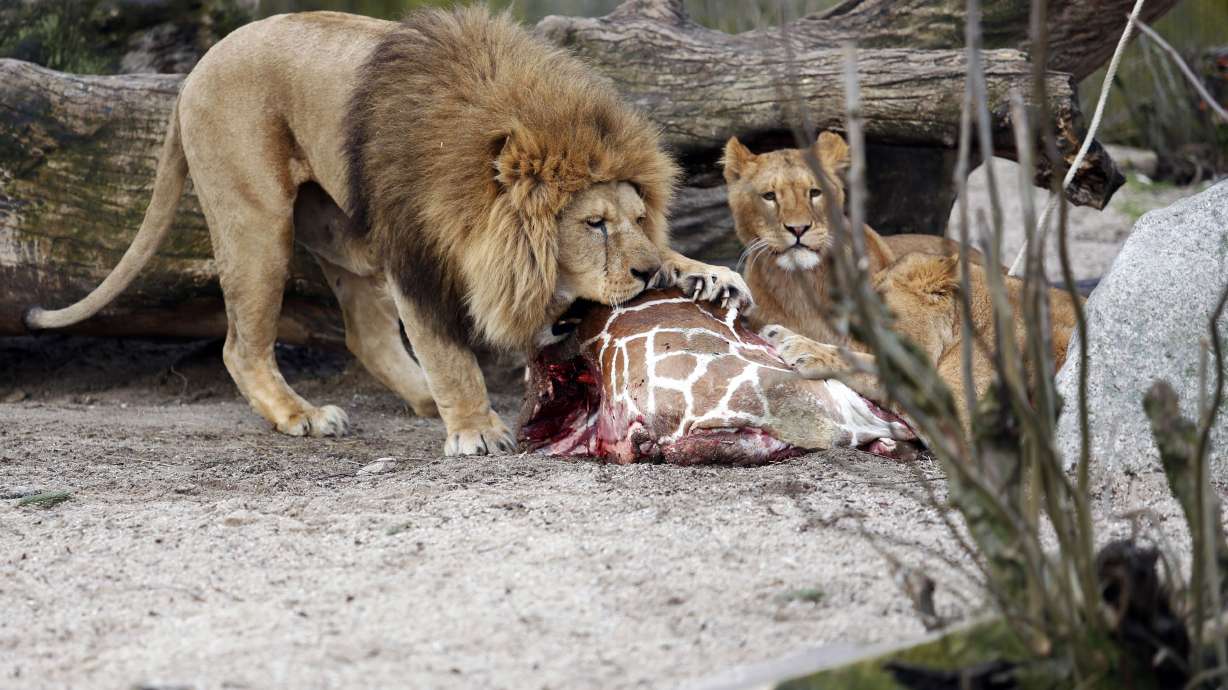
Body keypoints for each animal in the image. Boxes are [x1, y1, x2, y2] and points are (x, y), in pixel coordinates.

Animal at [24, 8, 749, 456]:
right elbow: (449, 350)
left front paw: (709, 276)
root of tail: (190, 76)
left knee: (363, 334)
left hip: (344, 234)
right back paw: (304, 415)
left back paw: (420, 397)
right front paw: (476, 428)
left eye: (637, 217)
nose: (645, 274)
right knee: (241, 346)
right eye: (593, 223)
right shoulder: (416, 255)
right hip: (258, 222)